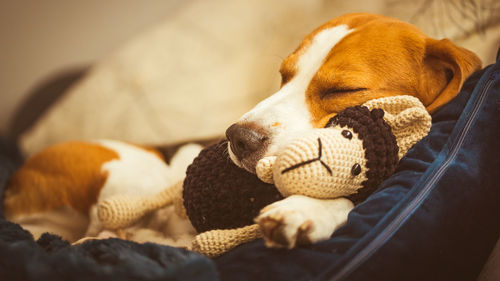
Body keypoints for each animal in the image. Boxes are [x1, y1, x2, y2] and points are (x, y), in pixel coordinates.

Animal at [3, 12, 480, 247]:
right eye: (283, 76)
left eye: (342, 90)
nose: (237, 138)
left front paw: (308, 211)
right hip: (128, 172)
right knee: (100, 228)